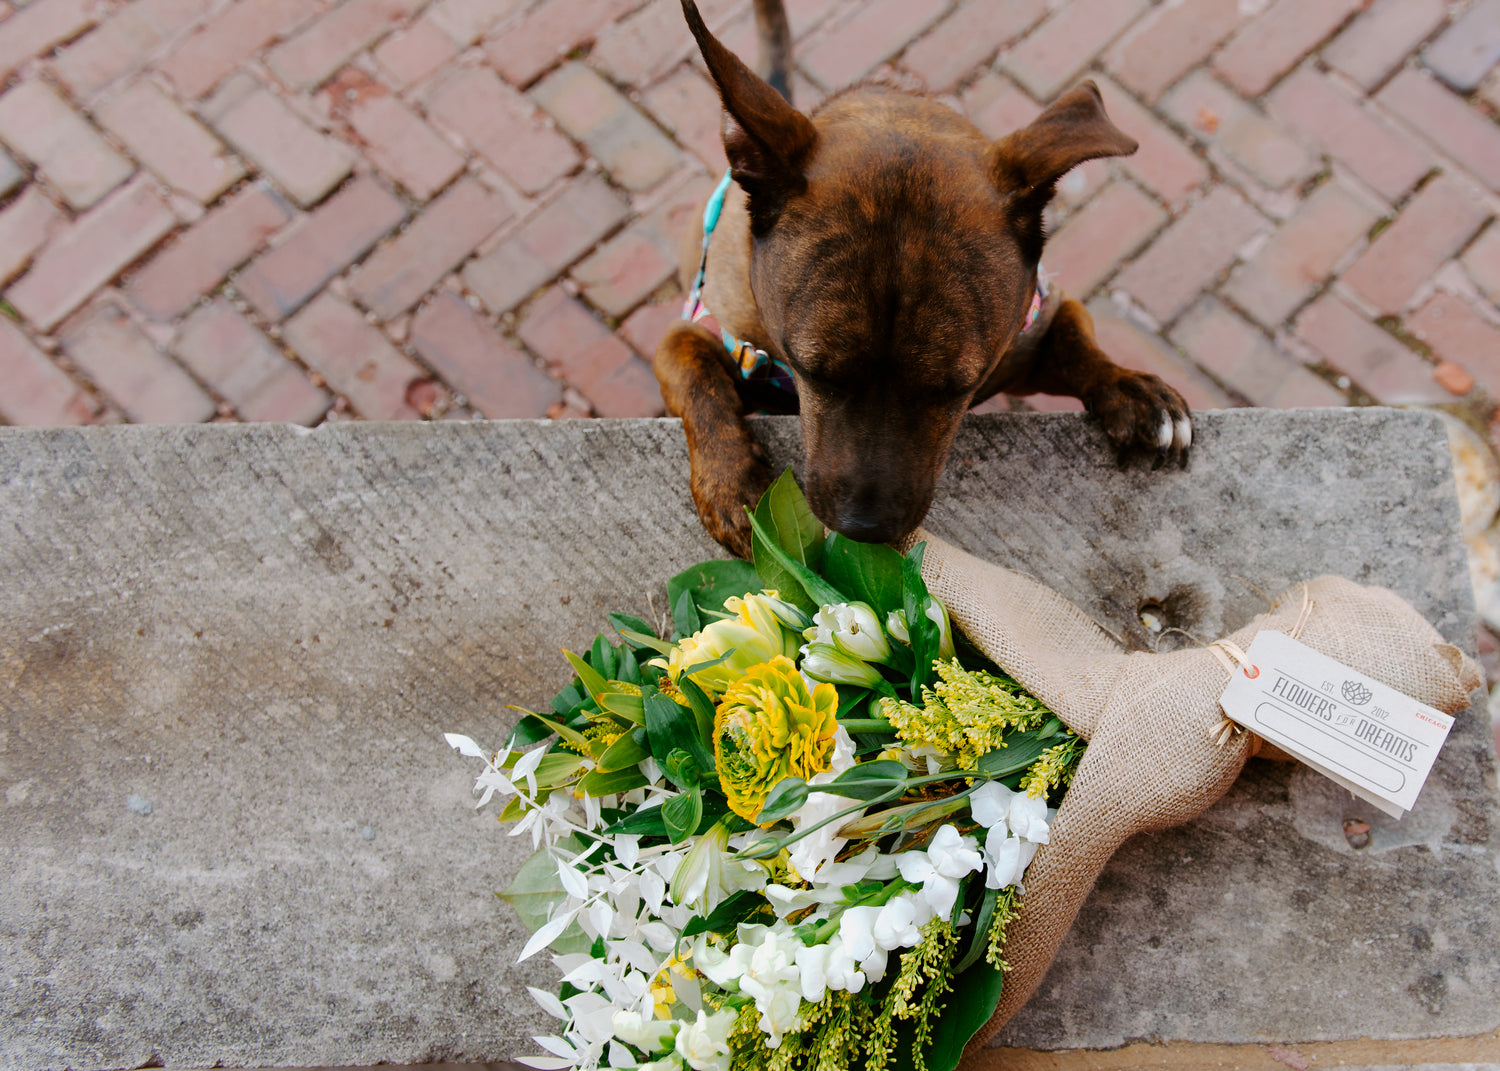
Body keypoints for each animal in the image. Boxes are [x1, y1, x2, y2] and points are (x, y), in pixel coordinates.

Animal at [651, 2, 1188, 558]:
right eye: (813, 371)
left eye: (959, 387)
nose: (864, 529)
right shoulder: (705, 333)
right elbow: (695, 378)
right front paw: (732, 482)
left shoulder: (1034, 328)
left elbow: (1075, 338)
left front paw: (1127, 386)